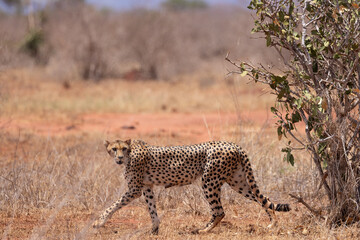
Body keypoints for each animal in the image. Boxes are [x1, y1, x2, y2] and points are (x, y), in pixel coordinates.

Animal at [93, 139, 290, 234]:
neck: (131, 152)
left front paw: (98, 222)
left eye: (123, 149)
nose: (119, 158)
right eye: (114, 149)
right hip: (238, 182)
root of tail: (232, 144)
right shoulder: (147, 187)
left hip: (209, 181)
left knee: (220, 211)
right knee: (263, 199)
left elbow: (112, 206)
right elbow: (151, 208)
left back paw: (203, 231)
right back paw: (273, 223)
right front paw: (154, 229)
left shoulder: (134, 190)